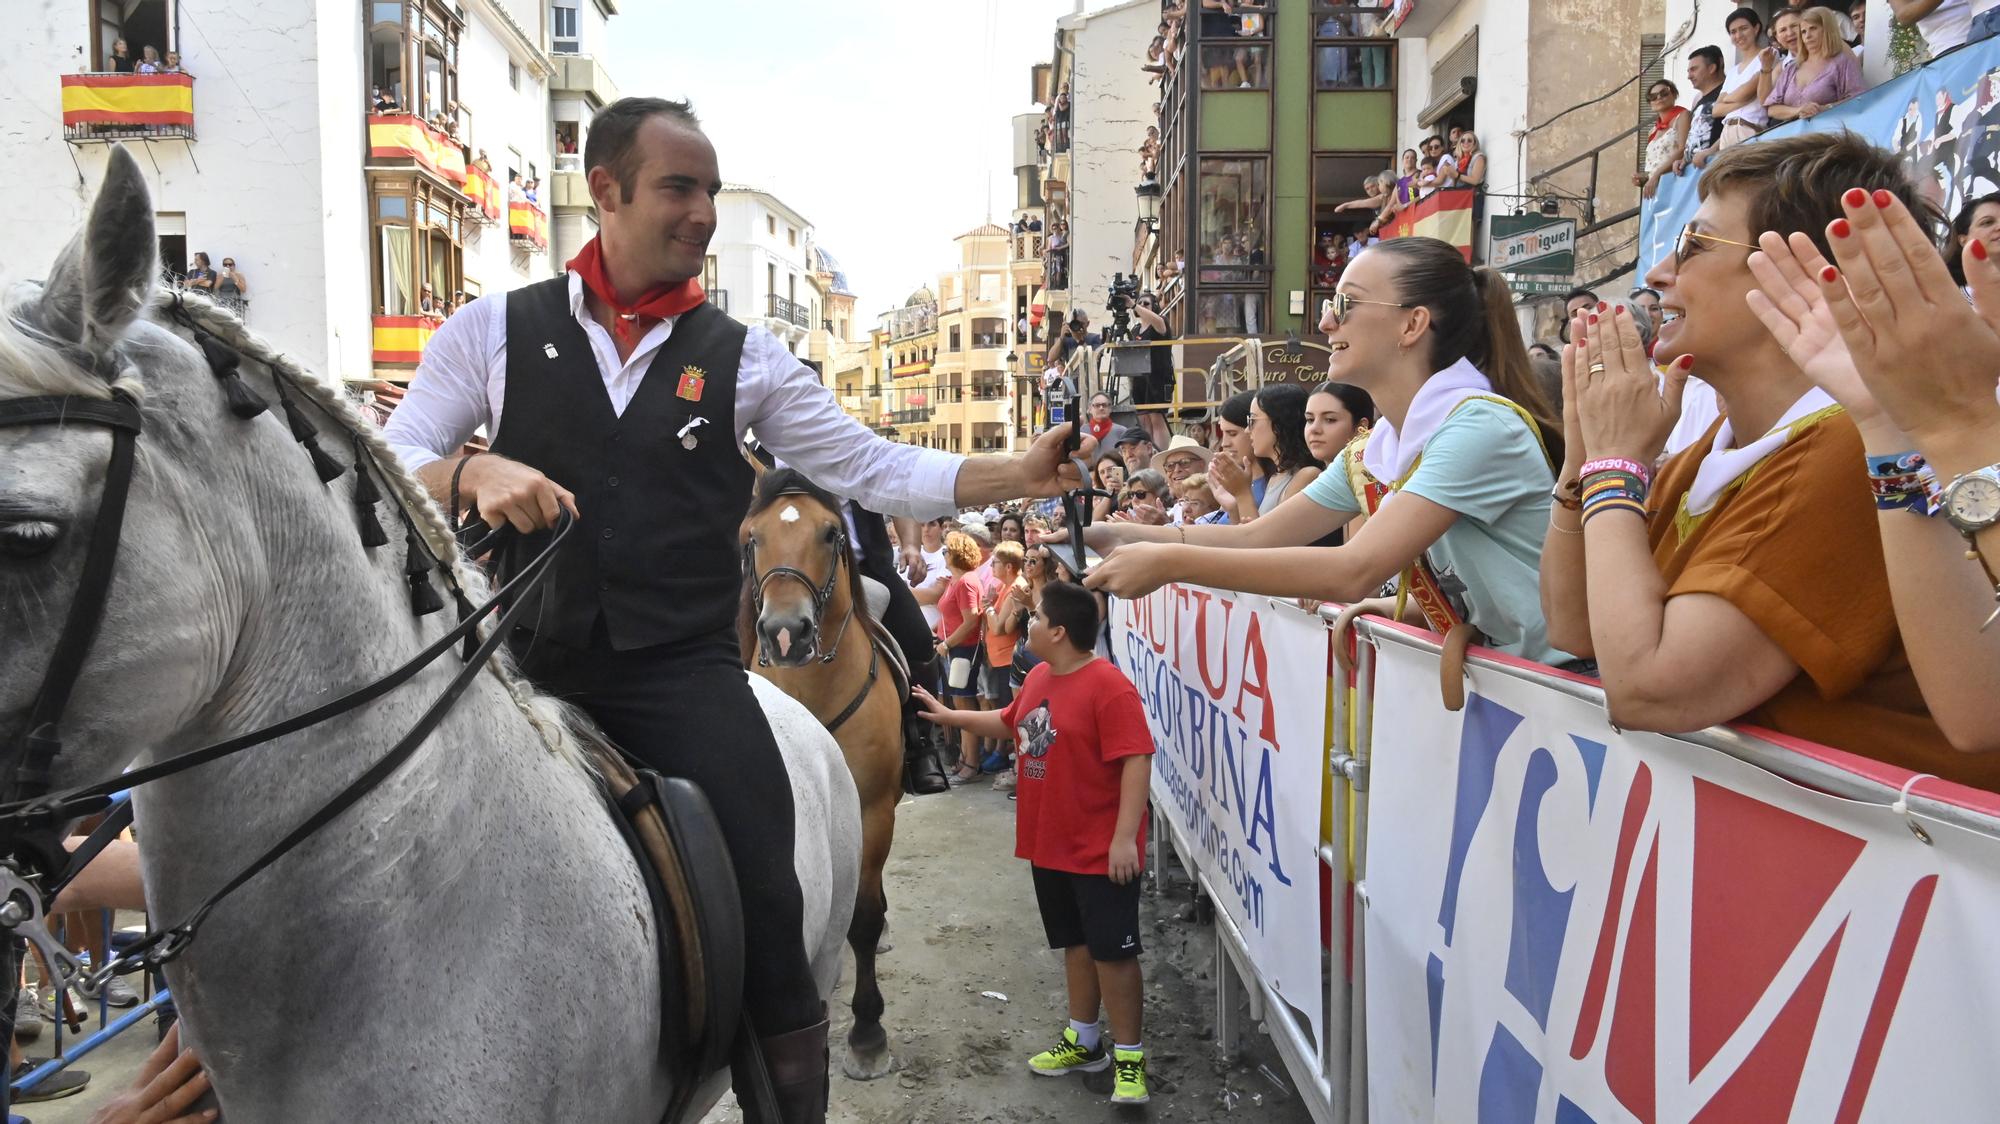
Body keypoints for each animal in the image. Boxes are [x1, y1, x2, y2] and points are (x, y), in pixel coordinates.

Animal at [736, 464, 908, 1080]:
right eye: (751, 537)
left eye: (831, 534)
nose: (787, 633)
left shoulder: (874, 807)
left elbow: (863, 917)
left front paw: (867, 1033)